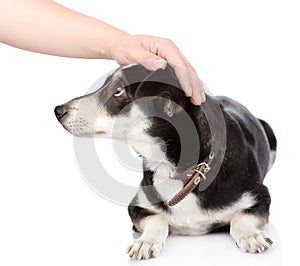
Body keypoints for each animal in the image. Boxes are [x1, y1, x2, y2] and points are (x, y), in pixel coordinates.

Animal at [54, 64, 276, 260]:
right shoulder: (136, 207)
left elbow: (240, 216)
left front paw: (250, 235)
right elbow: (158, 218)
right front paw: (146, 241)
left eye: (117, 90)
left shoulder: (260, 196)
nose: (58, 111)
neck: (176, 170)